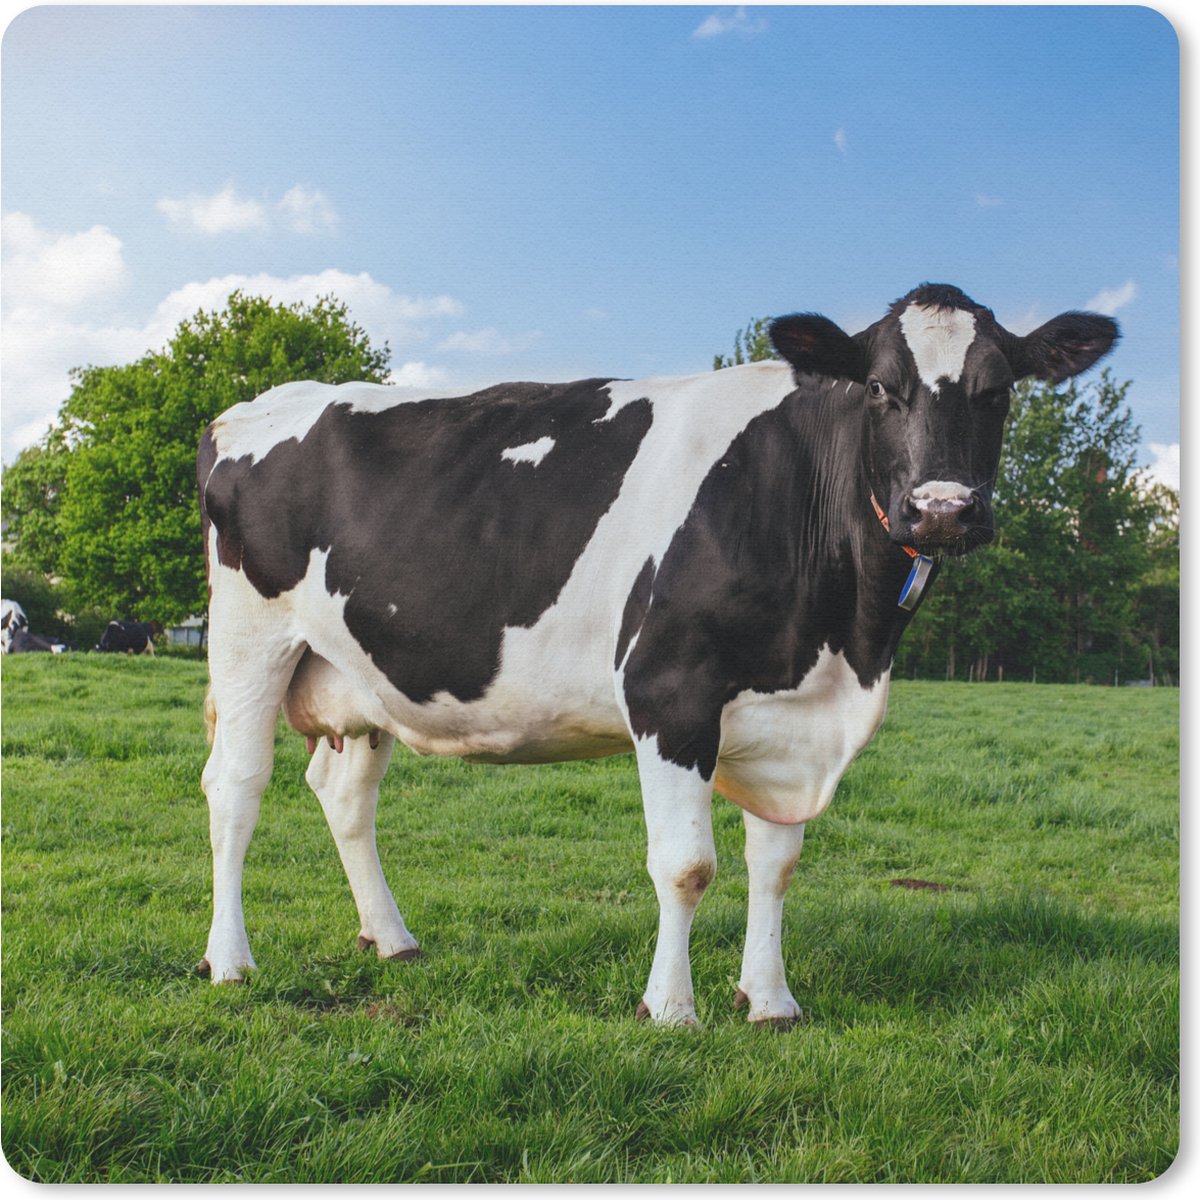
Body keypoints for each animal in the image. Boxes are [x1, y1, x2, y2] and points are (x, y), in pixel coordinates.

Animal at [196, 283, 1117, 1024]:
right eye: (881, 389)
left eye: (999, 390)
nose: (942, 510)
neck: (843, 645)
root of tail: (250, 407)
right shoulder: (669, 691)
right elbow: (686, 866)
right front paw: (671, 1009)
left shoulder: (787, 715)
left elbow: (776, 864)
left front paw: (771, 1001)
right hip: (249, 638)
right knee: (236, 786)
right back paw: (231, 960)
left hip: (363, 672)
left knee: (345, 795)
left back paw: (391, 938)